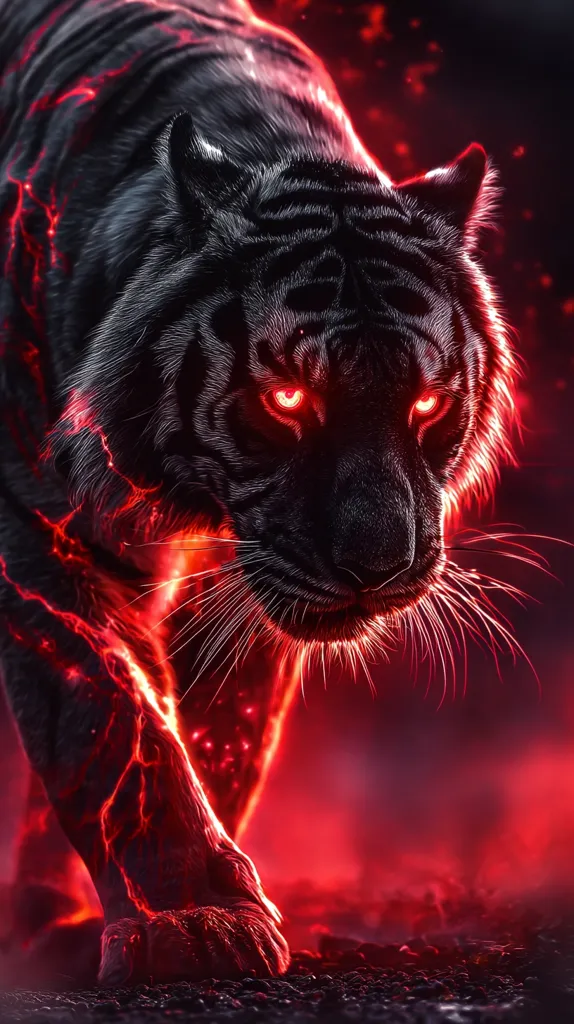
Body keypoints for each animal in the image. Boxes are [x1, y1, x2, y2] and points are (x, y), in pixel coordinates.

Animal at [0, 0, 518, 986]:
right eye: (287, 401)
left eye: (426, 402)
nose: (377, 567)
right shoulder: (31, 523)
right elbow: (110, 723)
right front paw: (191, 920)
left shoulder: (248, 582)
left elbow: (221, 730)